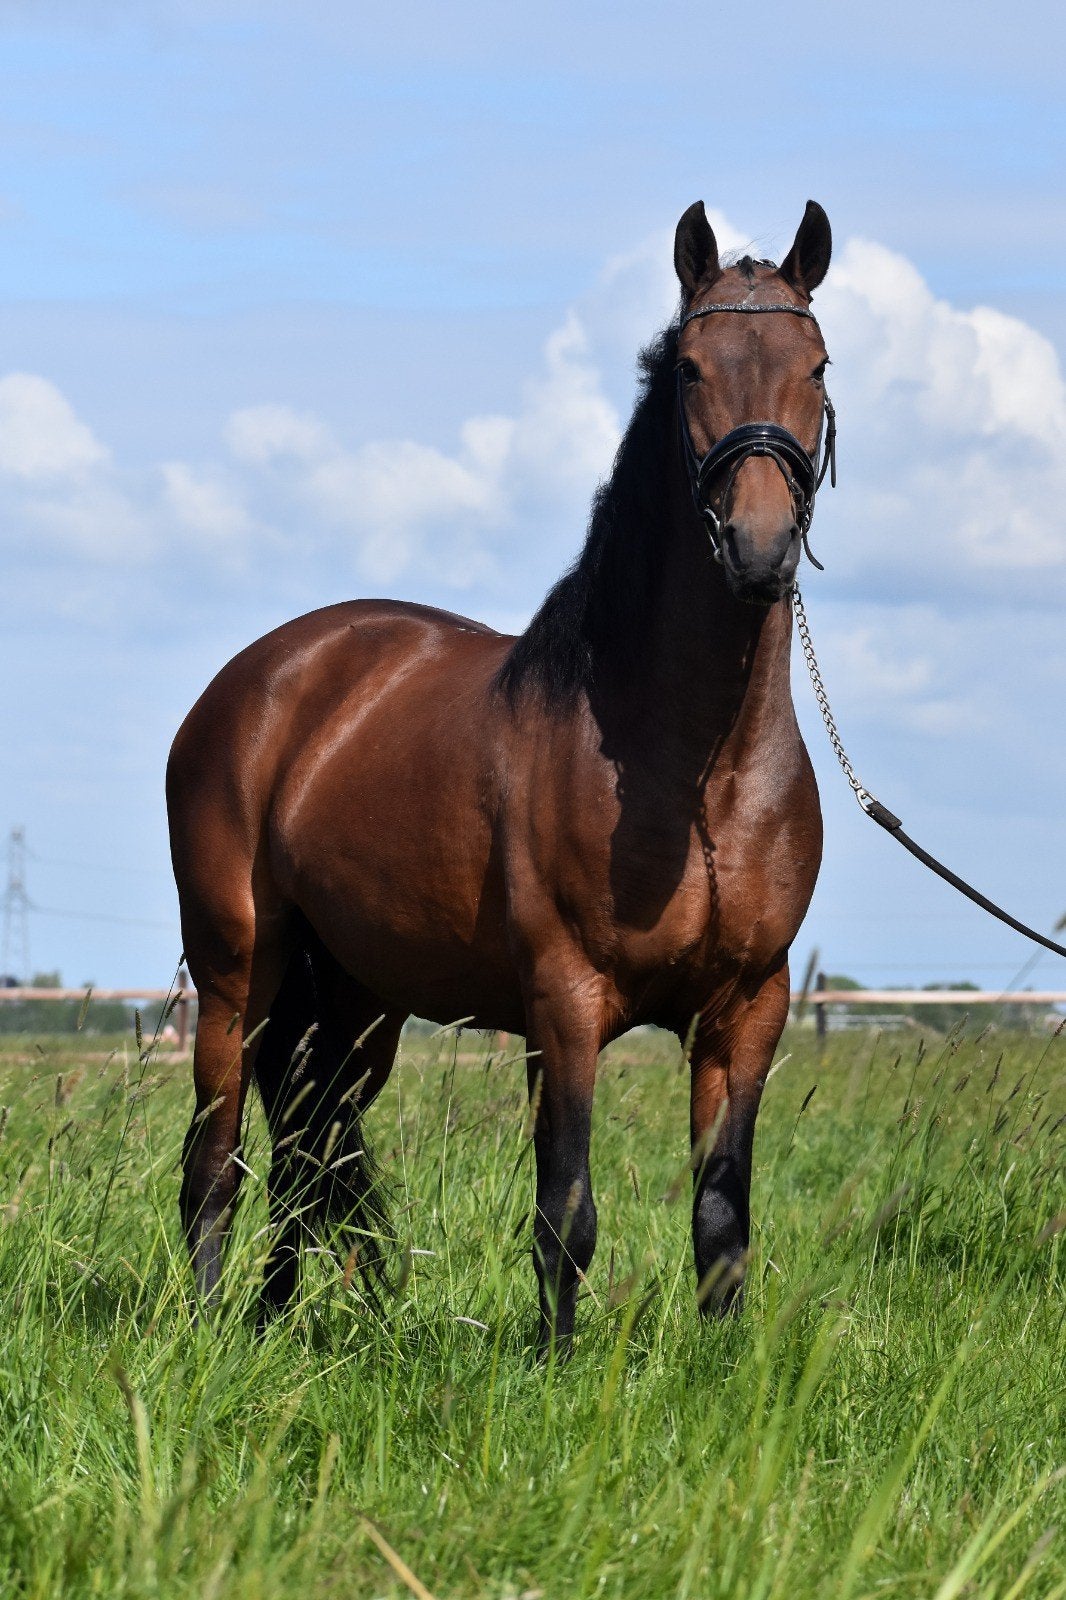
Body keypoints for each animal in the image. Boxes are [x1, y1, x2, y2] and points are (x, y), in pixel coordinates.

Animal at [167, 199, 834, 1352]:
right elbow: (566, 1209)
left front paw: (721, 1369)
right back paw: (212, 1334)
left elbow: (722, 1215)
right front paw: (556, 1369)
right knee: (220, 1161)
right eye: (692, 368)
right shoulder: (564, 1003)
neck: (696, 776)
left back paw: (271, 1326)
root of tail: (263, 676)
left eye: (819, 365)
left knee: (304, 1157)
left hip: (359, 1004)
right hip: (236, 972)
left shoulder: (750, 1008)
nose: (757, 547)